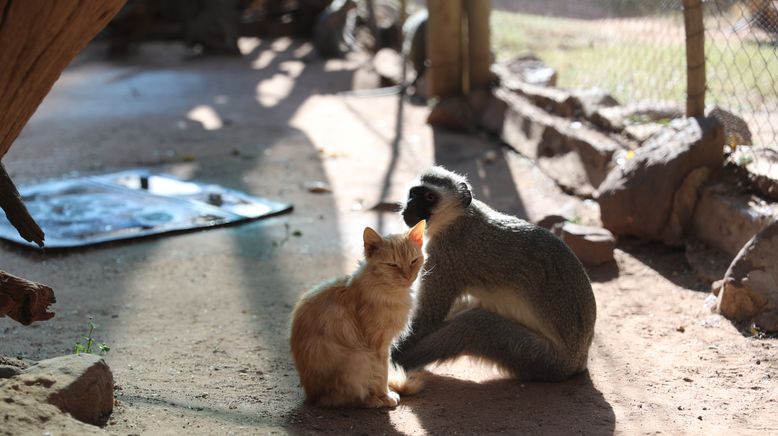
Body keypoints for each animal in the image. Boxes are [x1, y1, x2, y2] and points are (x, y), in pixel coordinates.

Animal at [290, 221, 424, 408]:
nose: (407, 276)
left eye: (413, 261)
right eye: (392, 265)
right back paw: (373, 400)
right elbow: (382, 375)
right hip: (360, 358)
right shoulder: (379, 346)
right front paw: (385, 396)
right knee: (345, 399)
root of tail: (311, 396)